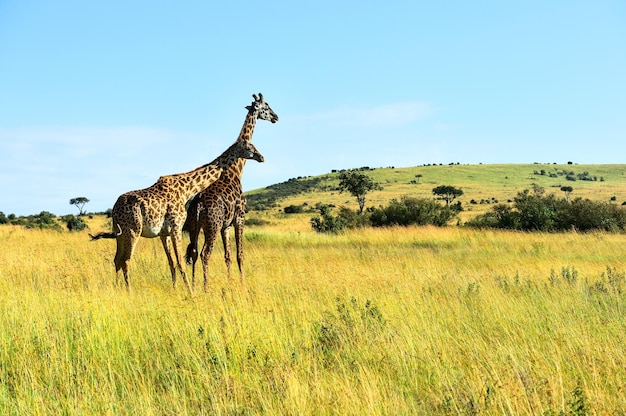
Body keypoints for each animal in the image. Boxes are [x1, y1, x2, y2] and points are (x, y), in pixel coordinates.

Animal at [88, 140, 264, 292]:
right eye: (249, 147)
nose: (261, 157)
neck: (187, 189)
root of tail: (114, 209)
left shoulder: (164, 233)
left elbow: (172, 263)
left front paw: (175, 289)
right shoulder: (176, 227)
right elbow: (181, 262)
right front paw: (191, 293)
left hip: (120, 233)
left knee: (117, 259)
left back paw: (117, 288)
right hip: (133, 231)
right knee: (126, 259)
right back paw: (128, 291)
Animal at [182, 92, 276, 290]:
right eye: (266, 106)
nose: (276, 117)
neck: (236, 170)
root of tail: (199, 205)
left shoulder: (226, 225)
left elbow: (228, 256)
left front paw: (230, 283)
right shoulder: (239, 218)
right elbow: (240, 255)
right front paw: (242, 285)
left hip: (195, 226)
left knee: (193, 253)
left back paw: (194, 286)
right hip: (212, 226)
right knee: (205, 254)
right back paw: (206, 288)